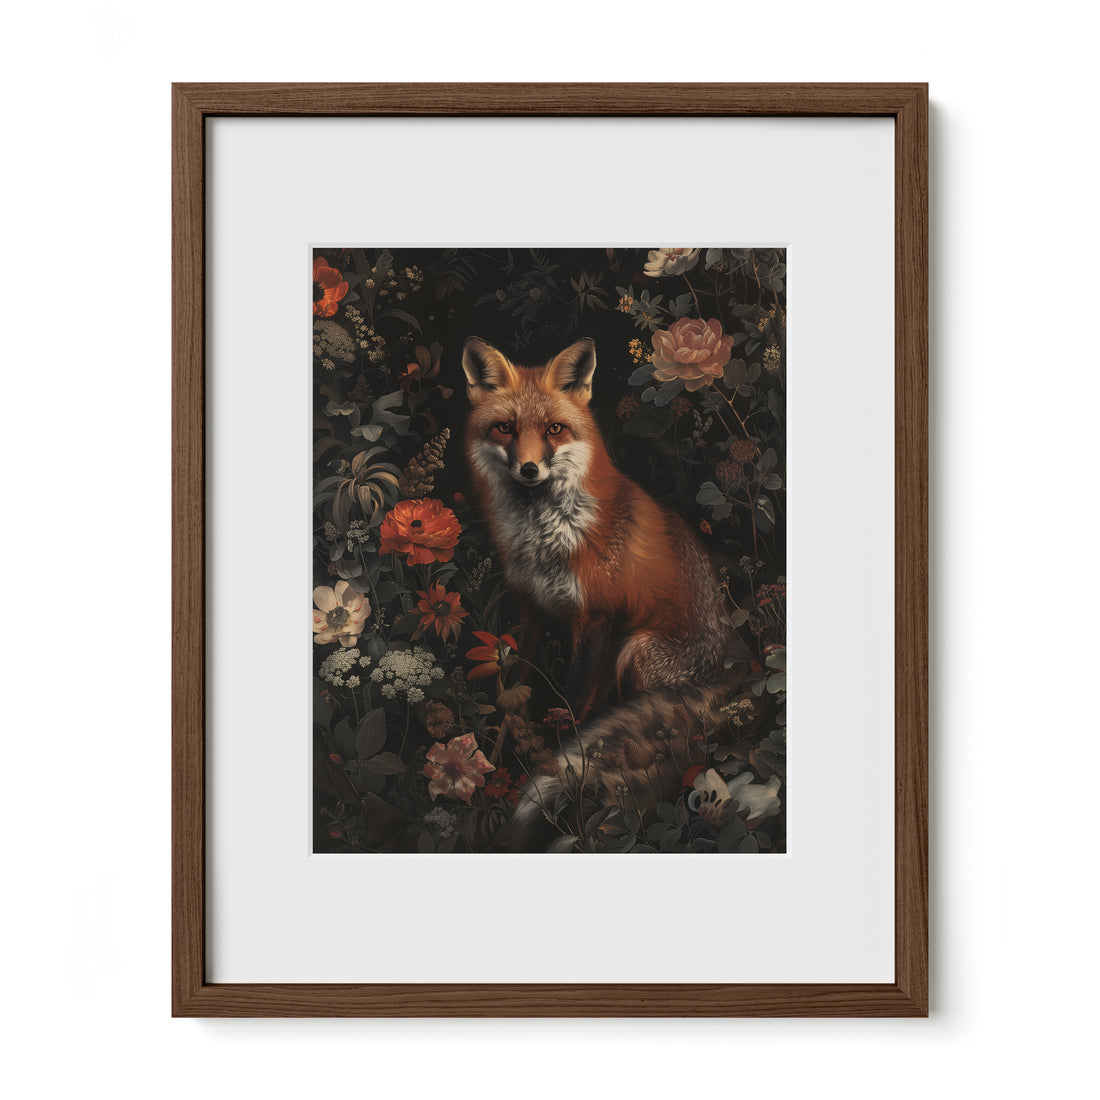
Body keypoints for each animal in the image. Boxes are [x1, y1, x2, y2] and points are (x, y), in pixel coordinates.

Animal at [461, 335, 745, 849]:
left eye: (554, 429)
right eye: (504, 428)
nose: (529, 469)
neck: (547, 535)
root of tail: (739, 663)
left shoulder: (595, 618)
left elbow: (573, 710)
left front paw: (551, 769)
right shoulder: (532, 609)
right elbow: (514, 694)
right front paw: (493, 760)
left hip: (638, 651)